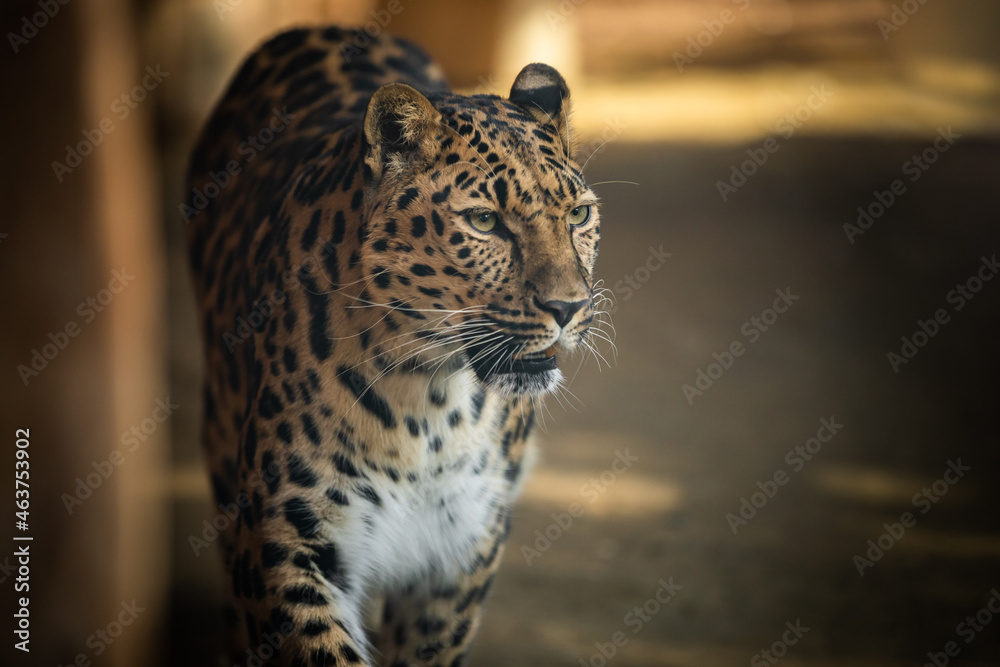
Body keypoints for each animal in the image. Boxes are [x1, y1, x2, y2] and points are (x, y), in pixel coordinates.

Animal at [184, 24, 604, 667]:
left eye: (579, 214)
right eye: (484, 222)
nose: (569, 308)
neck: (430, 405)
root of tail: (316, 28)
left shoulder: (460, 556)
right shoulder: (287, 540)